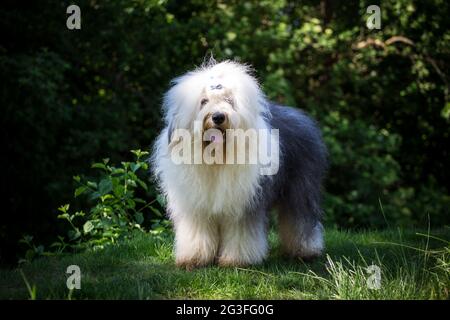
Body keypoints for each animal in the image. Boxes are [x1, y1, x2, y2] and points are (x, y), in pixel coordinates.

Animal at [151, 58, 326, 268]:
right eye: (203, 101)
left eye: (229, 101)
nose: (218, 116)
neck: (217, 157)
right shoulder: (196, 206)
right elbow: (197, 232)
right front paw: (194, 258)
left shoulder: (243, 204)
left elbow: (241, 233)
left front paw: (237, 260)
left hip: (300, 188)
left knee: (300, 219)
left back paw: (305, 252)